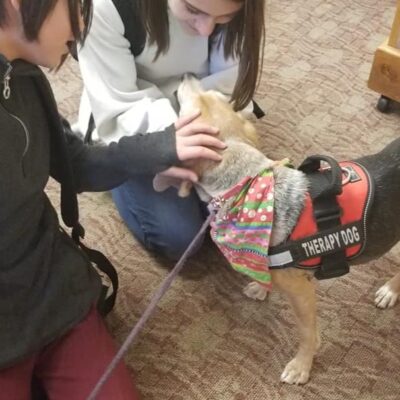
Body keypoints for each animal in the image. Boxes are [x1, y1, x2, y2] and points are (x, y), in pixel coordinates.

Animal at [156, 75, 400, 384]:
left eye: (187, 113)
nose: (187, 75)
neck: (246, 185)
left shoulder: (301, 292)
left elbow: (308, 336)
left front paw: (302, 366)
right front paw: (262, 288)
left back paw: (390, 291)